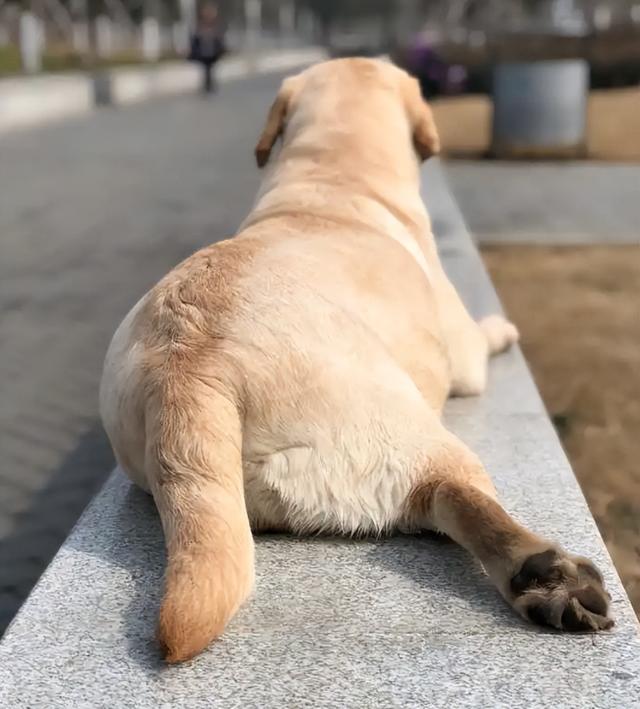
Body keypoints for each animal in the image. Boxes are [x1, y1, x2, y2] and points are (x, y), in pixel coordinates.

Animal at [99, 58, 608, 660]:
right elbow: (479, 343)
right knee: (452, 494)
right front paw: (501, 328)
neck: (333, 178)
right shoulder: (462, 354)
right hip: (401, 432)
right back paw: (545, 576)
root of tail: (187, 368)